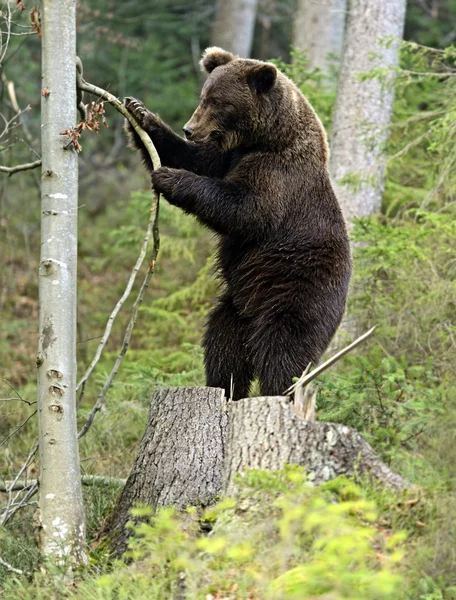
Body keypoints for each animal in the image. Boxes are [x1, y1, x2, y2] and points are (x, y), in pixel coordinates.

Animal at [123, 47, 350, 400]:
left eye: (219, 102)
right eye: (203, 96)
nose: (189, 128)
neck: (265, 139)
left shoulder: (278, 174)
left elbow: (246, 210)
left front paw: (170, 178)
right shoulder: (228, 155)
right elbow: (194, 158)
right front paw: (140, 112)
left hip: (299, 294)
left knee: (283, 352)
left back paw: (278, 391)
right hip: (236, 304)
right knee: (223, 346)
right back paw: (225, 388)